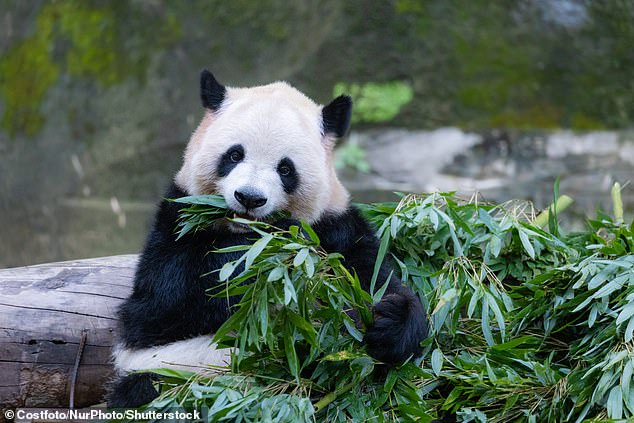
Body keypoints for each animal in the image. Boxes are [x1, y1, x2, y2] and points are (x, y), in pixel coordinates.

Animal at [108, 71, 428, 410]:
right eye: (234, 155)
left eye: (285, 168)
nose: (249, 197)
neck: (244, 230)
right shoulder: (177, 219)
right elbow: (169, 296)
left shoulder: (337, 227)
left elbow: (375, 278)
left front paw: (391, 322)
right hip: (173, 373)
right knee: (148, 390)